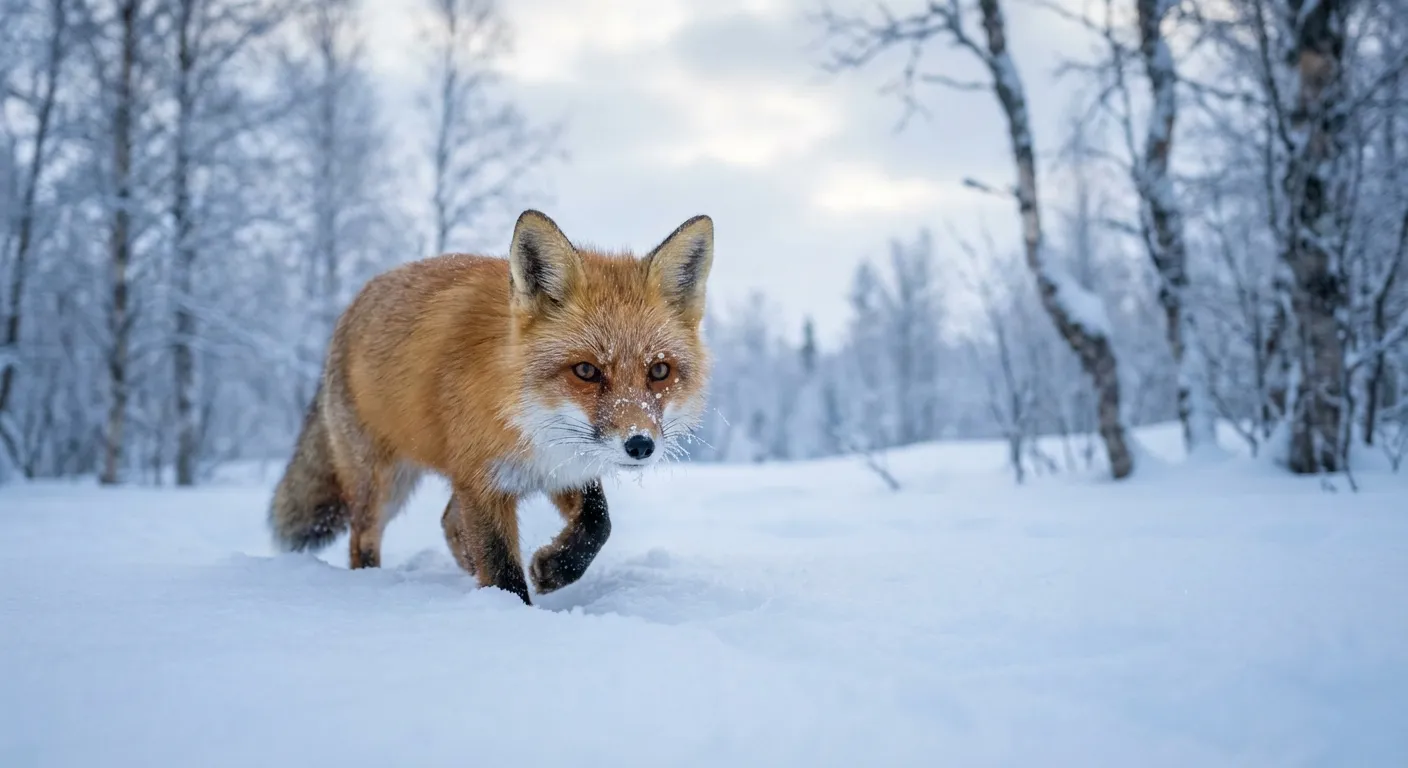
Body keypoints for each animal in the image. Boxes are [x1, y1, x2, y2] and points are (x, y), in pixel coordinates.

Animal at [267, 209, 714, 605]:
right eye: (586, 370)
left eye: (659, 370)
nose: (640, 445)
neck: (523, 411)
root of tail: (350, 307)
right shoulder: (483, 482)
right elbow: (502, 570)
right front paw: (508, 618)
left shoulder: (556, 464)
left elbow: (597, 523)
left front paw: (554, 569)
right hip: (382, 481)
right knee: (363, 539)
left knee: (447, 521)